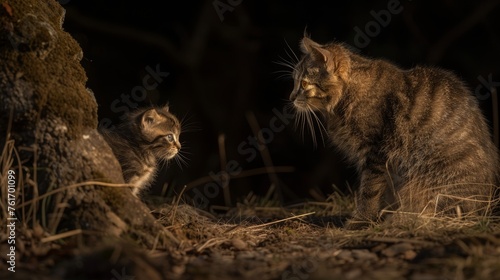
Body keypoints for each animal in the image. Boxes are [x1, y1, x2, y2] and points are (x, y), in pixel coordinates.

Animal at [290, 36, 500, 229]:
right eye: (294, 82)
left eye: (303, 84)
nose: (291, 97)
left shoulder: (375, 153)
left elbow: (369, 192)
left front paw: (361, 220)